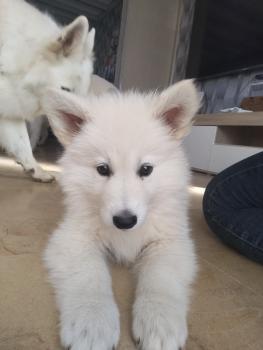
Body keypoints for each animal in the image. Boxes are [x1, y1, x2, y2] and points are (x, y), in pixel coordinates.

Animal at [43, 79, 200, 350]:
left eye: (146, 169)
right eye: (102, 169)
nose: (125, 221)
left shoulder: (169, 242)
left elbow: (160, 279)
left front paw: (159, 323)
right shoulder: (73, 238)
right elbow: (89, 277)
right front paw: (91, 325)